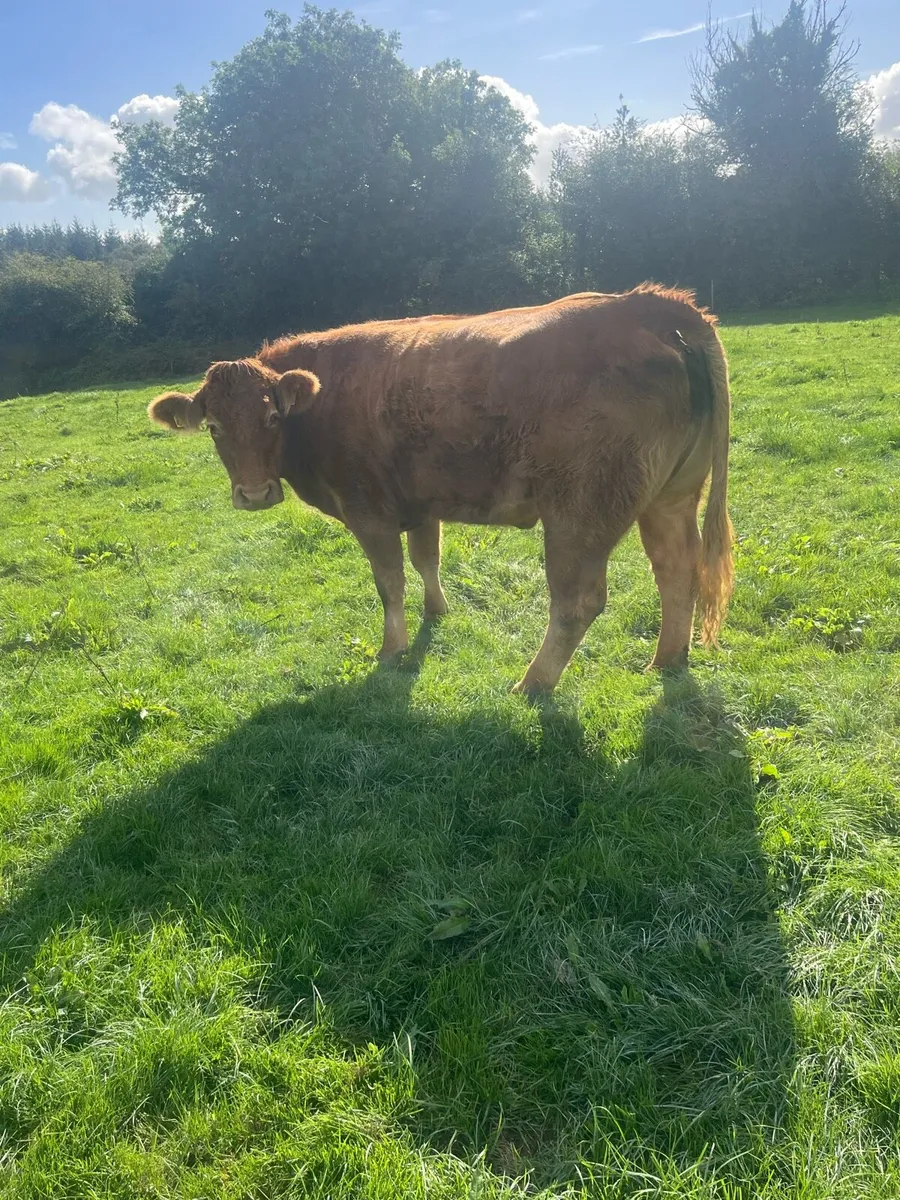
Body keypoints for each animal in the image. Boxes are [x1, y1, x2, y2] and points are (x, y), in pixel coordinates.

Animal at [148, 286, 734, 694]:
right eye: (214, 427)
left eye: (272, 417)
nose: (253, 494)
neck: (319, 402)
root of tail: (647, 303)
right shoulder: (420, 504)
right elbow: (426, 559)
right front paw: (436, 613)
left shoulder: (369, 511)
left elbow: (390, 582)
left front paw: (392, 650)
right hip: (671, 497)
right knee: (677, 571)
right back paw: (666, 660)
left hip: (579, 511)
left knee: (578, 600)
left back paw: (533, 684)